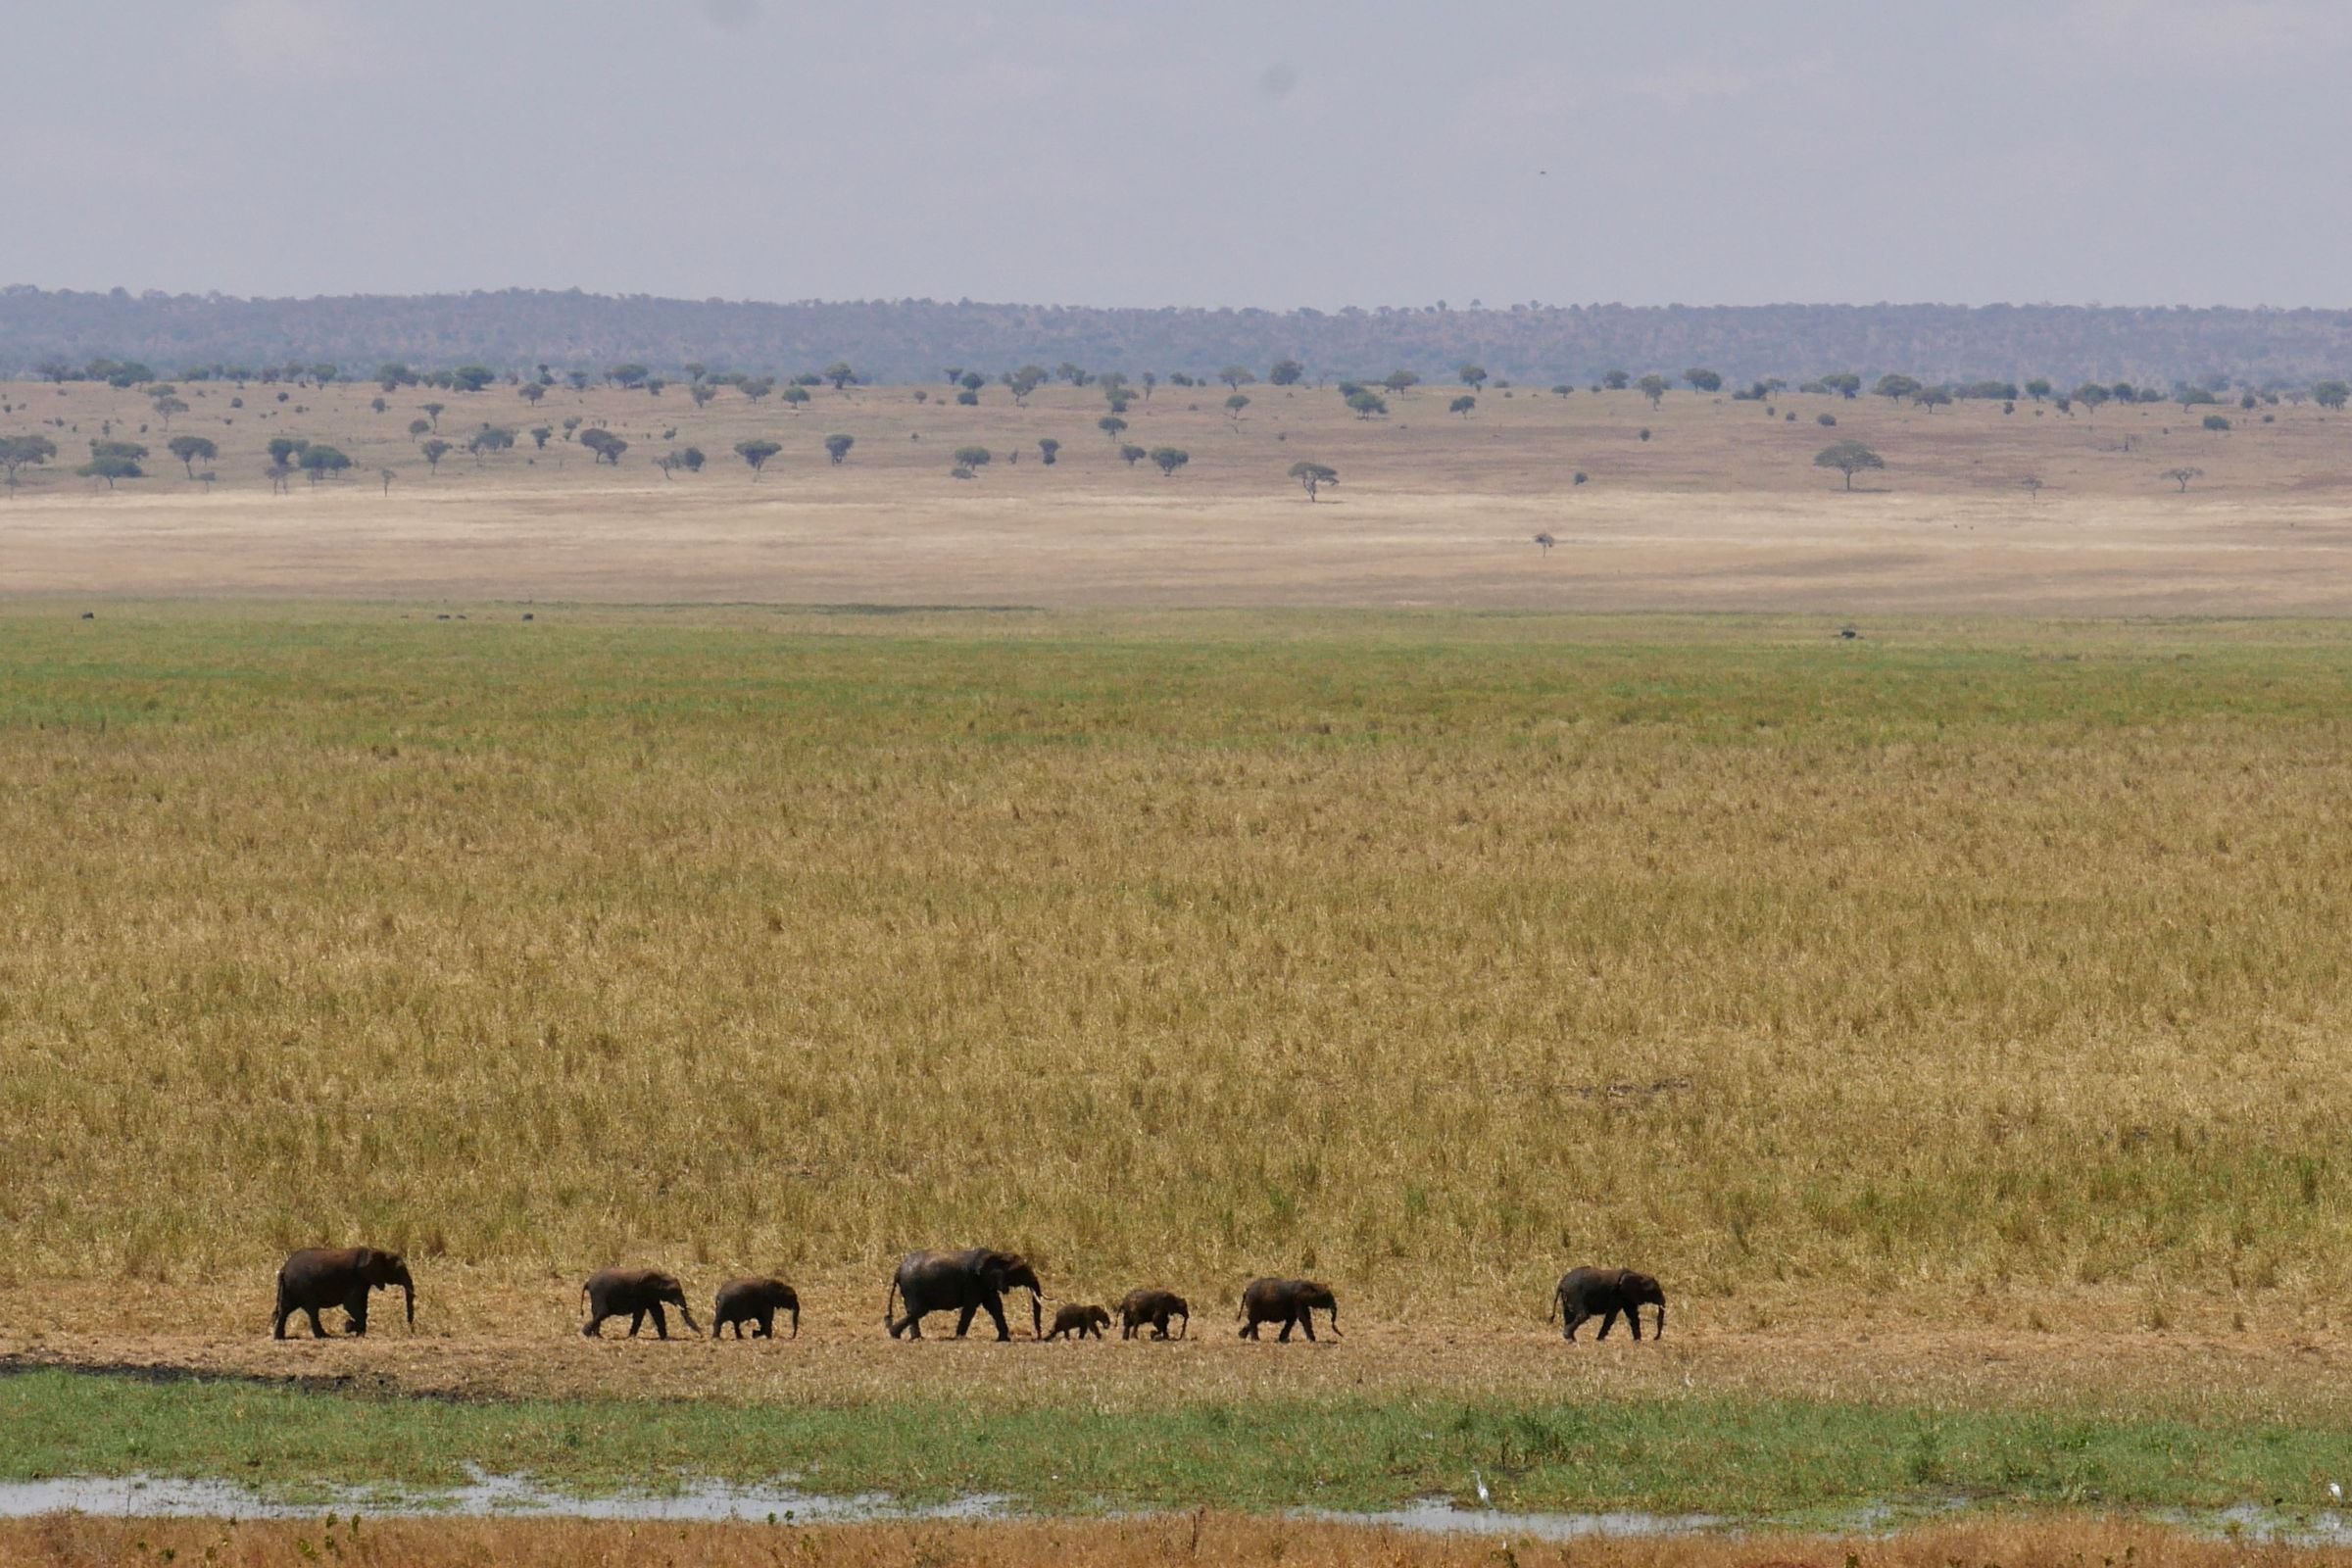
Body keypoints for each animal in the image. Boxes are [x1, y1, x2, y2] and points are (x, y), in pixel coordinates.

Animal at [272, 1246, 414, 1340]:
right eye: (398, 1269)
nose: (411, 1331)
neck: (376, 1251)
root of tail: (284, 1269)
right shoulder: (355, 1278)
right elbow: (351, 1305)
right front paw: (349, 1327)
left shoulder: (363, 1281)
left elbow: (362, 1305)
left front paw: (358, 1333)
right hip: (303, 1287)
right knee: (312, 1310)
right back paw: (324, 1336)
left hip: (291, 1288)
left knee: (285, 1310)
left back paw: (280, 1338)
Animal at [884, 1248, 1043, 1340]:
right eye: (1020, 1271)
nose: (1039, 1337)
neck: (997, 1255)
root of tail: (898, 1271)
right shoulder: (973, 1281)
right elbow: (971, 1308)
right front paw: (959, 1337)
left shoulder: (985, 1283)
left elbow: (995, 1307)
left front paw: (1004, 1339)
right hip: (913, 1288)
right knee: (918, 1311)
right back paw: (895, 1334)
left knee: (913, 1312)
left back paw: (913, 1338)